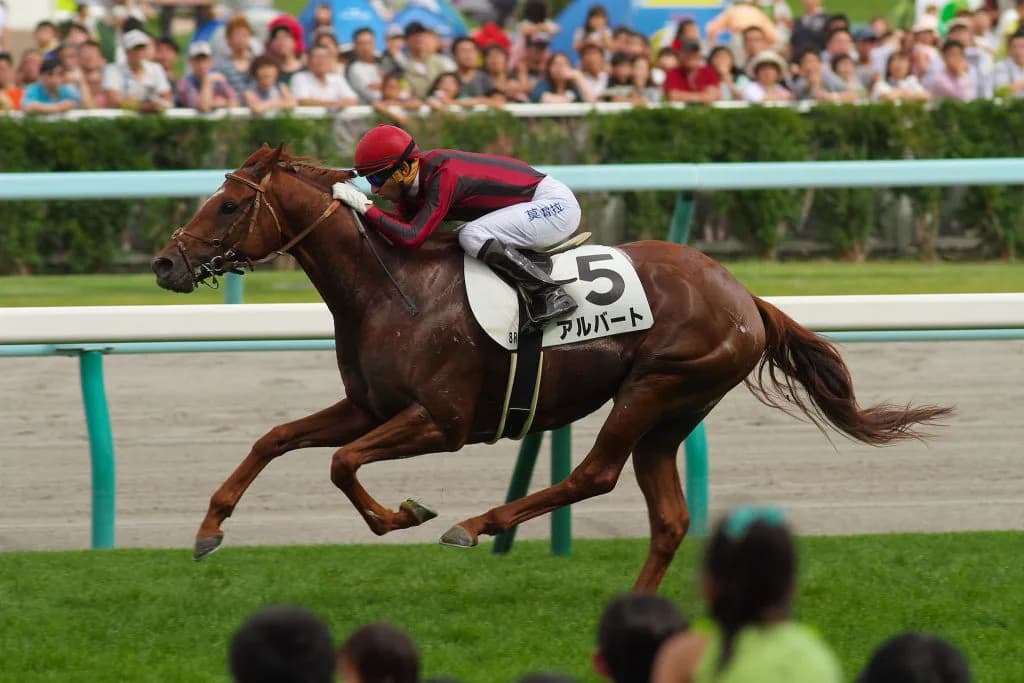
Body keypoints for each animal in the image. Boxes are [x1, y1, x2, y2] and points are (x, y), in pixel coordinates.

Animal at [152, 144, 950, 591]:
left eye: (228, 205)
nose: (165, 263)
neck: (391, 287)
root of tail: (741, 292)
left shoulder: (441, 421)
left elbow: (341, 463)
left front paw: (403, 514)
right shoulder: (371, 405)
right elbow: (276, 437)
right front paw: (209, 528)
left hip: (655, 385)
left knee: (594, 474)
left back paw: (475, 524)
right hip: (676, 411)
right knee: (669, 517)